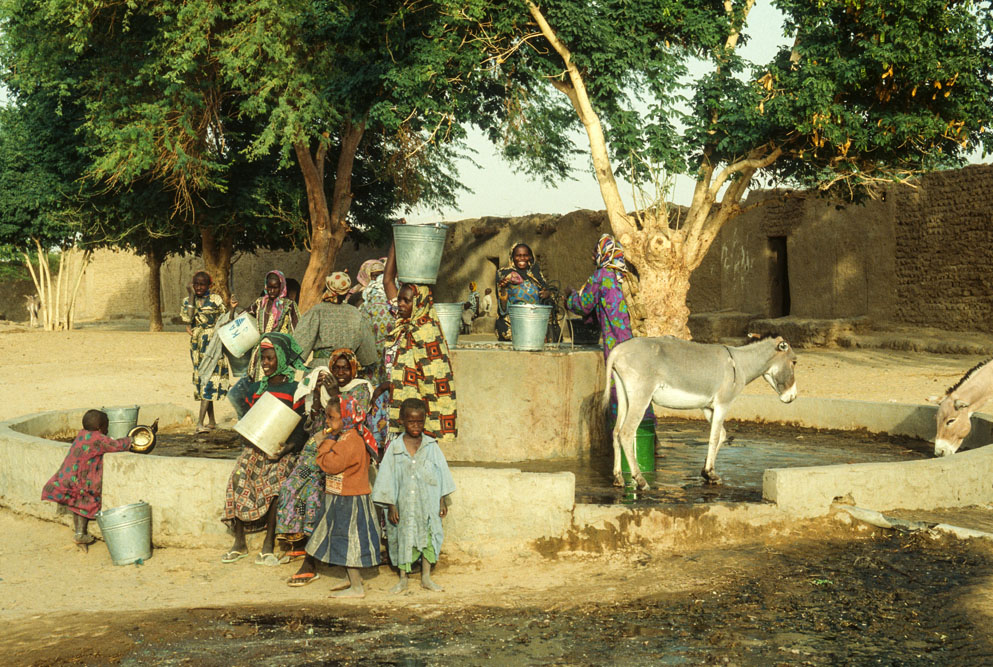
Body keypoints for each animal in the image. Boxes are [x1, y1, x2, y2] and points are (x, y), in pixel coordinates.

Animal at [604, 334, 797, 490]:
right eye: (794, 362)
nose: (793, 396)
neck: (740, 363)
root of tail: (618, 350)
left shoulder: (708, 408)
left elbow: (721, 435)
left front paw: (707, 472)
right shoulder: (723, 404)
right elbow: (714, 437)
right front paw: (710, 472)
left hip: (623, 396)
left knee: (616, 432)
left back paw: (618, 479)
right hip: (641, 397)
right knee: (626, 433)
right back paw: (640, 480)